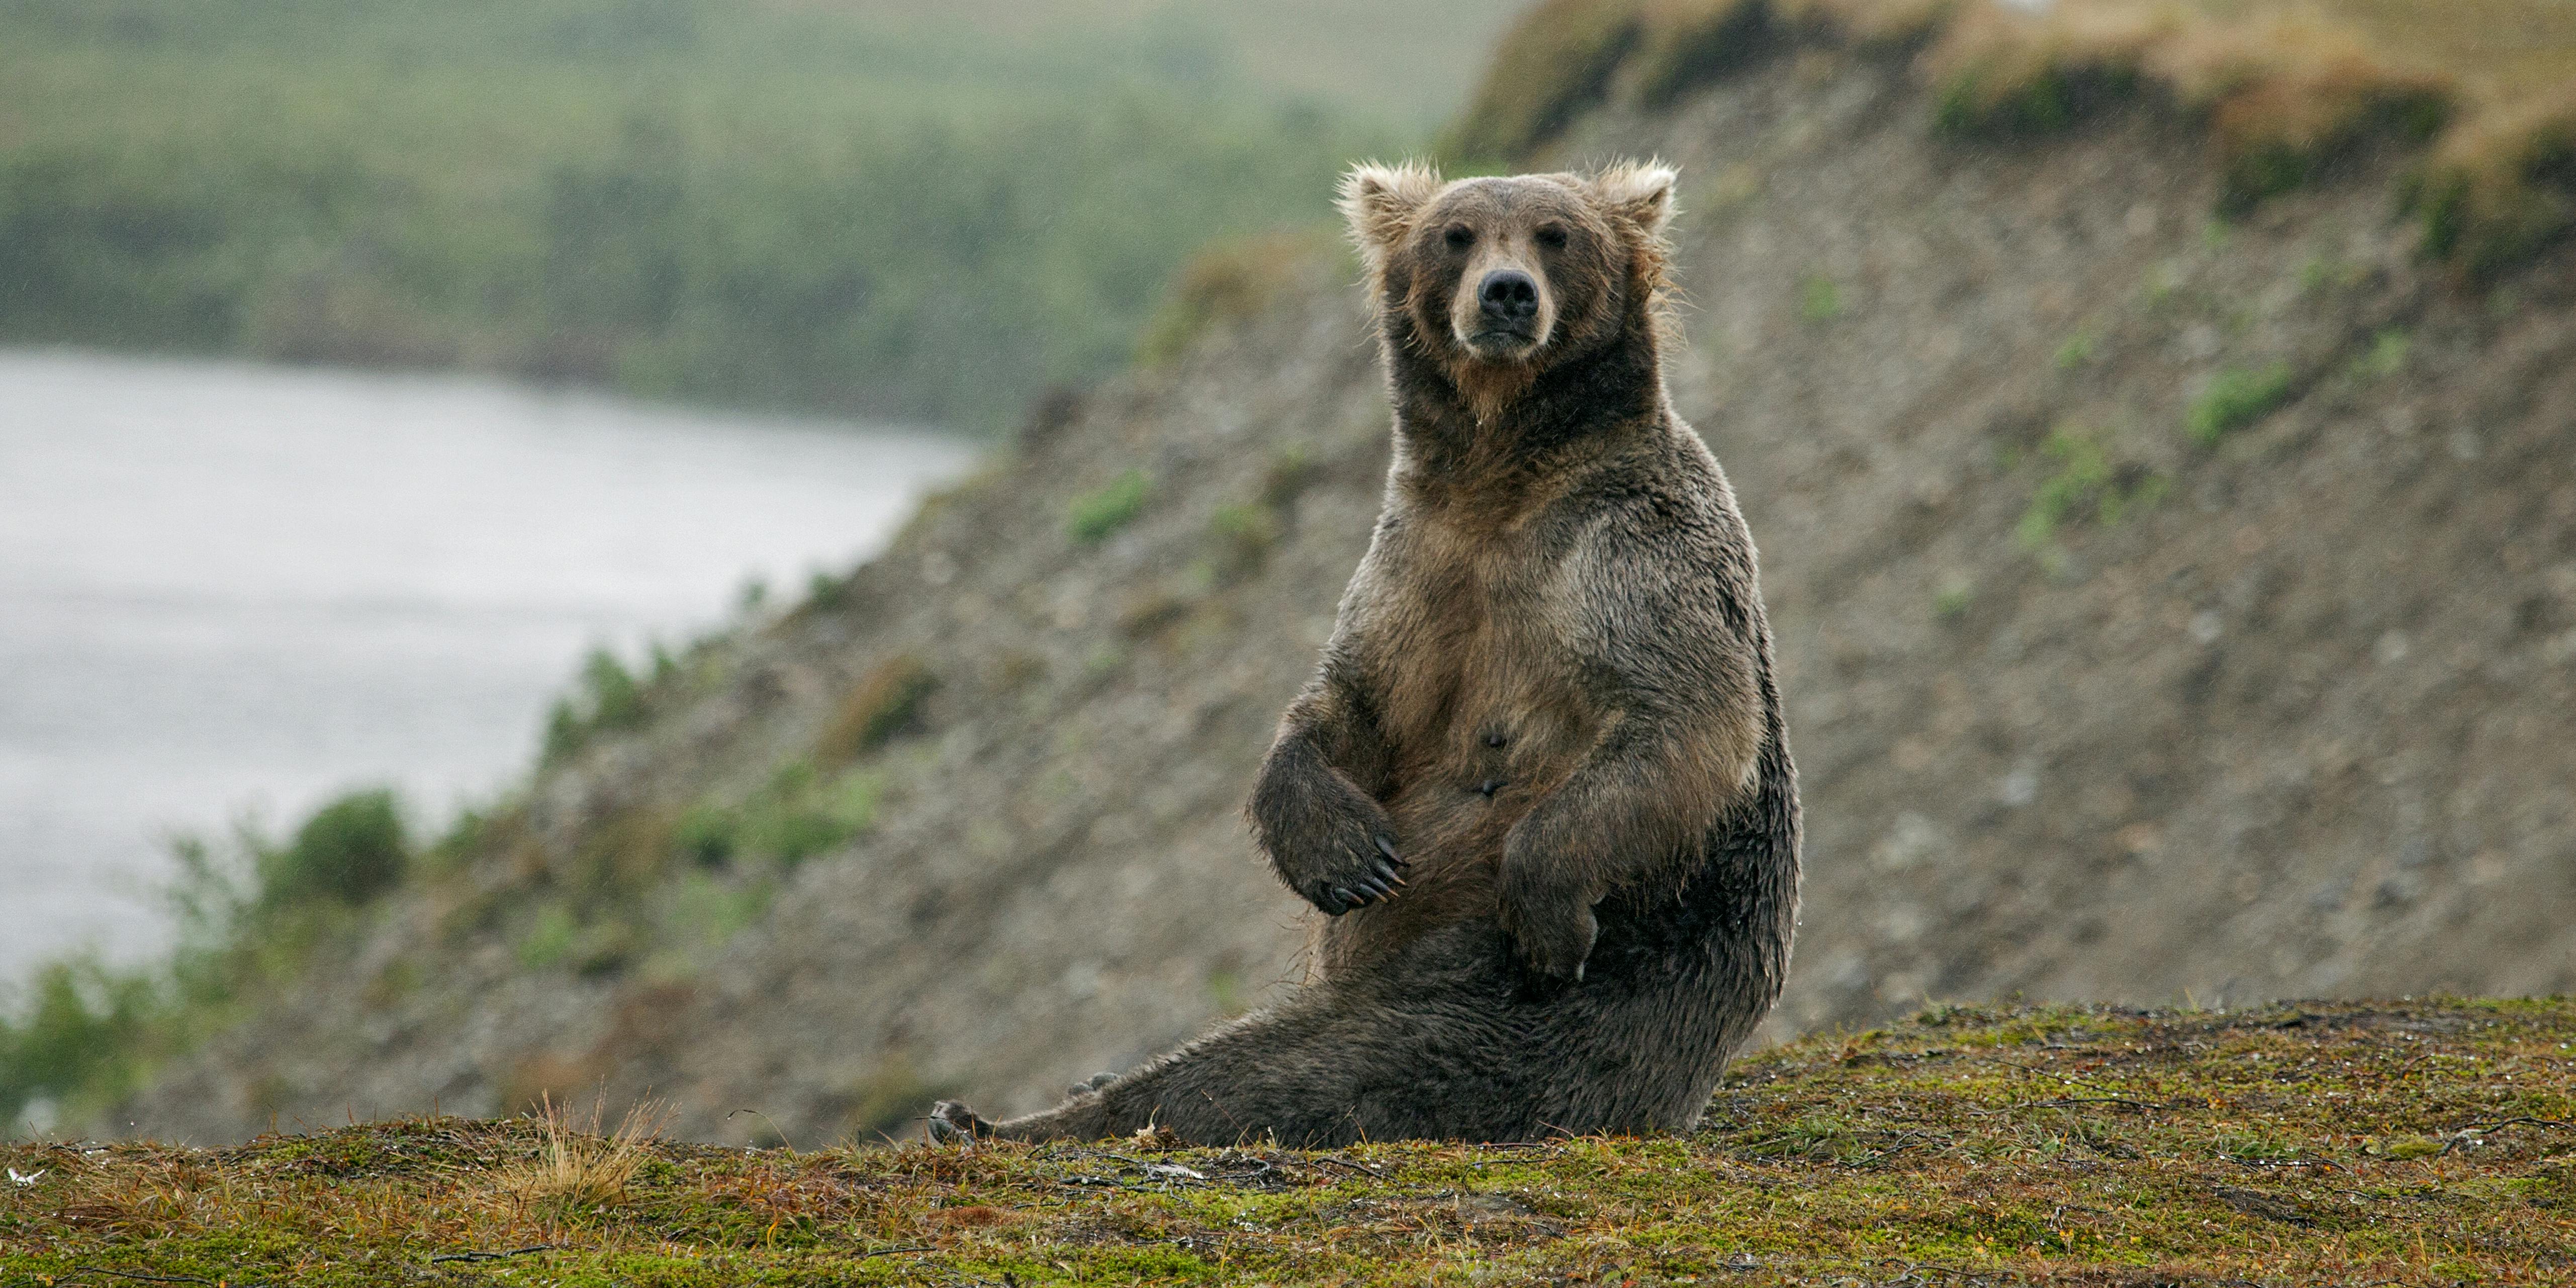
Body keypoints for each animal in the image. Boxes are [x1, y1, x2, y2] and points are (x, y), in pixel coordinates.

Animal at [927, 159, 1800, 1146]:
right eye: (1455, 234)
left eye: (1555, 233)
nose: (1506, 293)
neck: (1502, 486)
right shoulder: (1413, 567)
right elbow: (1350, 705)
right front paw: (1345, 851)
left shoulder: (1627, 558)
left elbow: (1685, 722)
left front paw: (1547, 913)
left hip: (1541, 1003)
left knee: (1301, 1063)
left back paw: (1011, 1115)